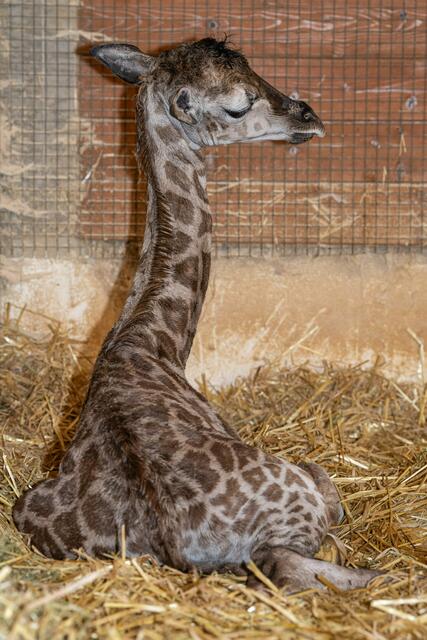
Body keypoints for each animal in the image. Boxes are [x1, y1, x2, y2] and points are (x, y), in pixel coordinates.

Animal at [13, 38, 382, 592]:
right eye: (238, 105)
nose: (309, 116)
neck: (154, 339)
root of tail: (180, 541)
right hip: (298, 502)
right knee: (299, 555)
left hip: (27, 503)